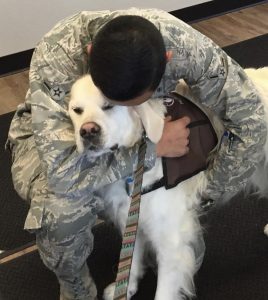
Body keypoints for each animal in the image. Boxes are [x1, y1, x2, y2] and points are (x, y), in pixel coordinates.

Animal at [68, 68, 268, 300]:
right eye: (77, 110)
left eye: (109, 105)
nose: (88, 131)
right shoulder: (133, 217)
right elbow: (131, 257)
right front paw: (127, 287)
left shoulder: (171, 243)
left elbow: (163, 291)